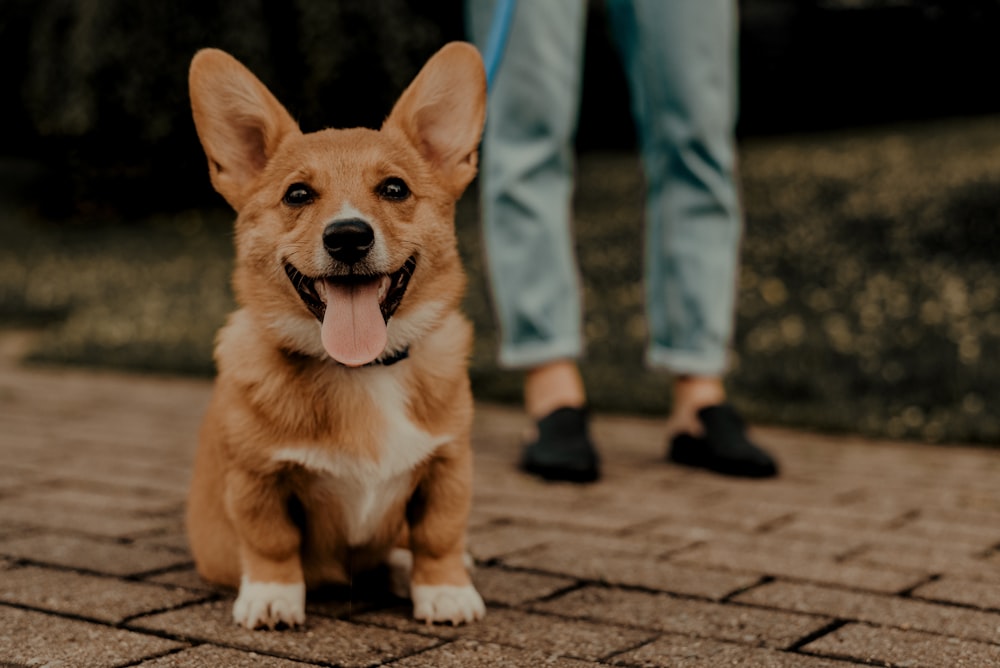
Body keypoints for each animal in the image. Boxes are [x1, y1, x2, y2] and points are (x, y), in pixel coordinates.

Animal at [187, 44, 488, 628]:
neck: (360, 371)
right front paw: (272, 596)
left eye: (394, 188)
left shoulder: (450, 466)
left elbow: (438, 533)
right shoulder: (257, 479)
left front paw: (444, 590)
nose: (348, 236)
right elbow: (271, 541)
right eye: (297, 194)